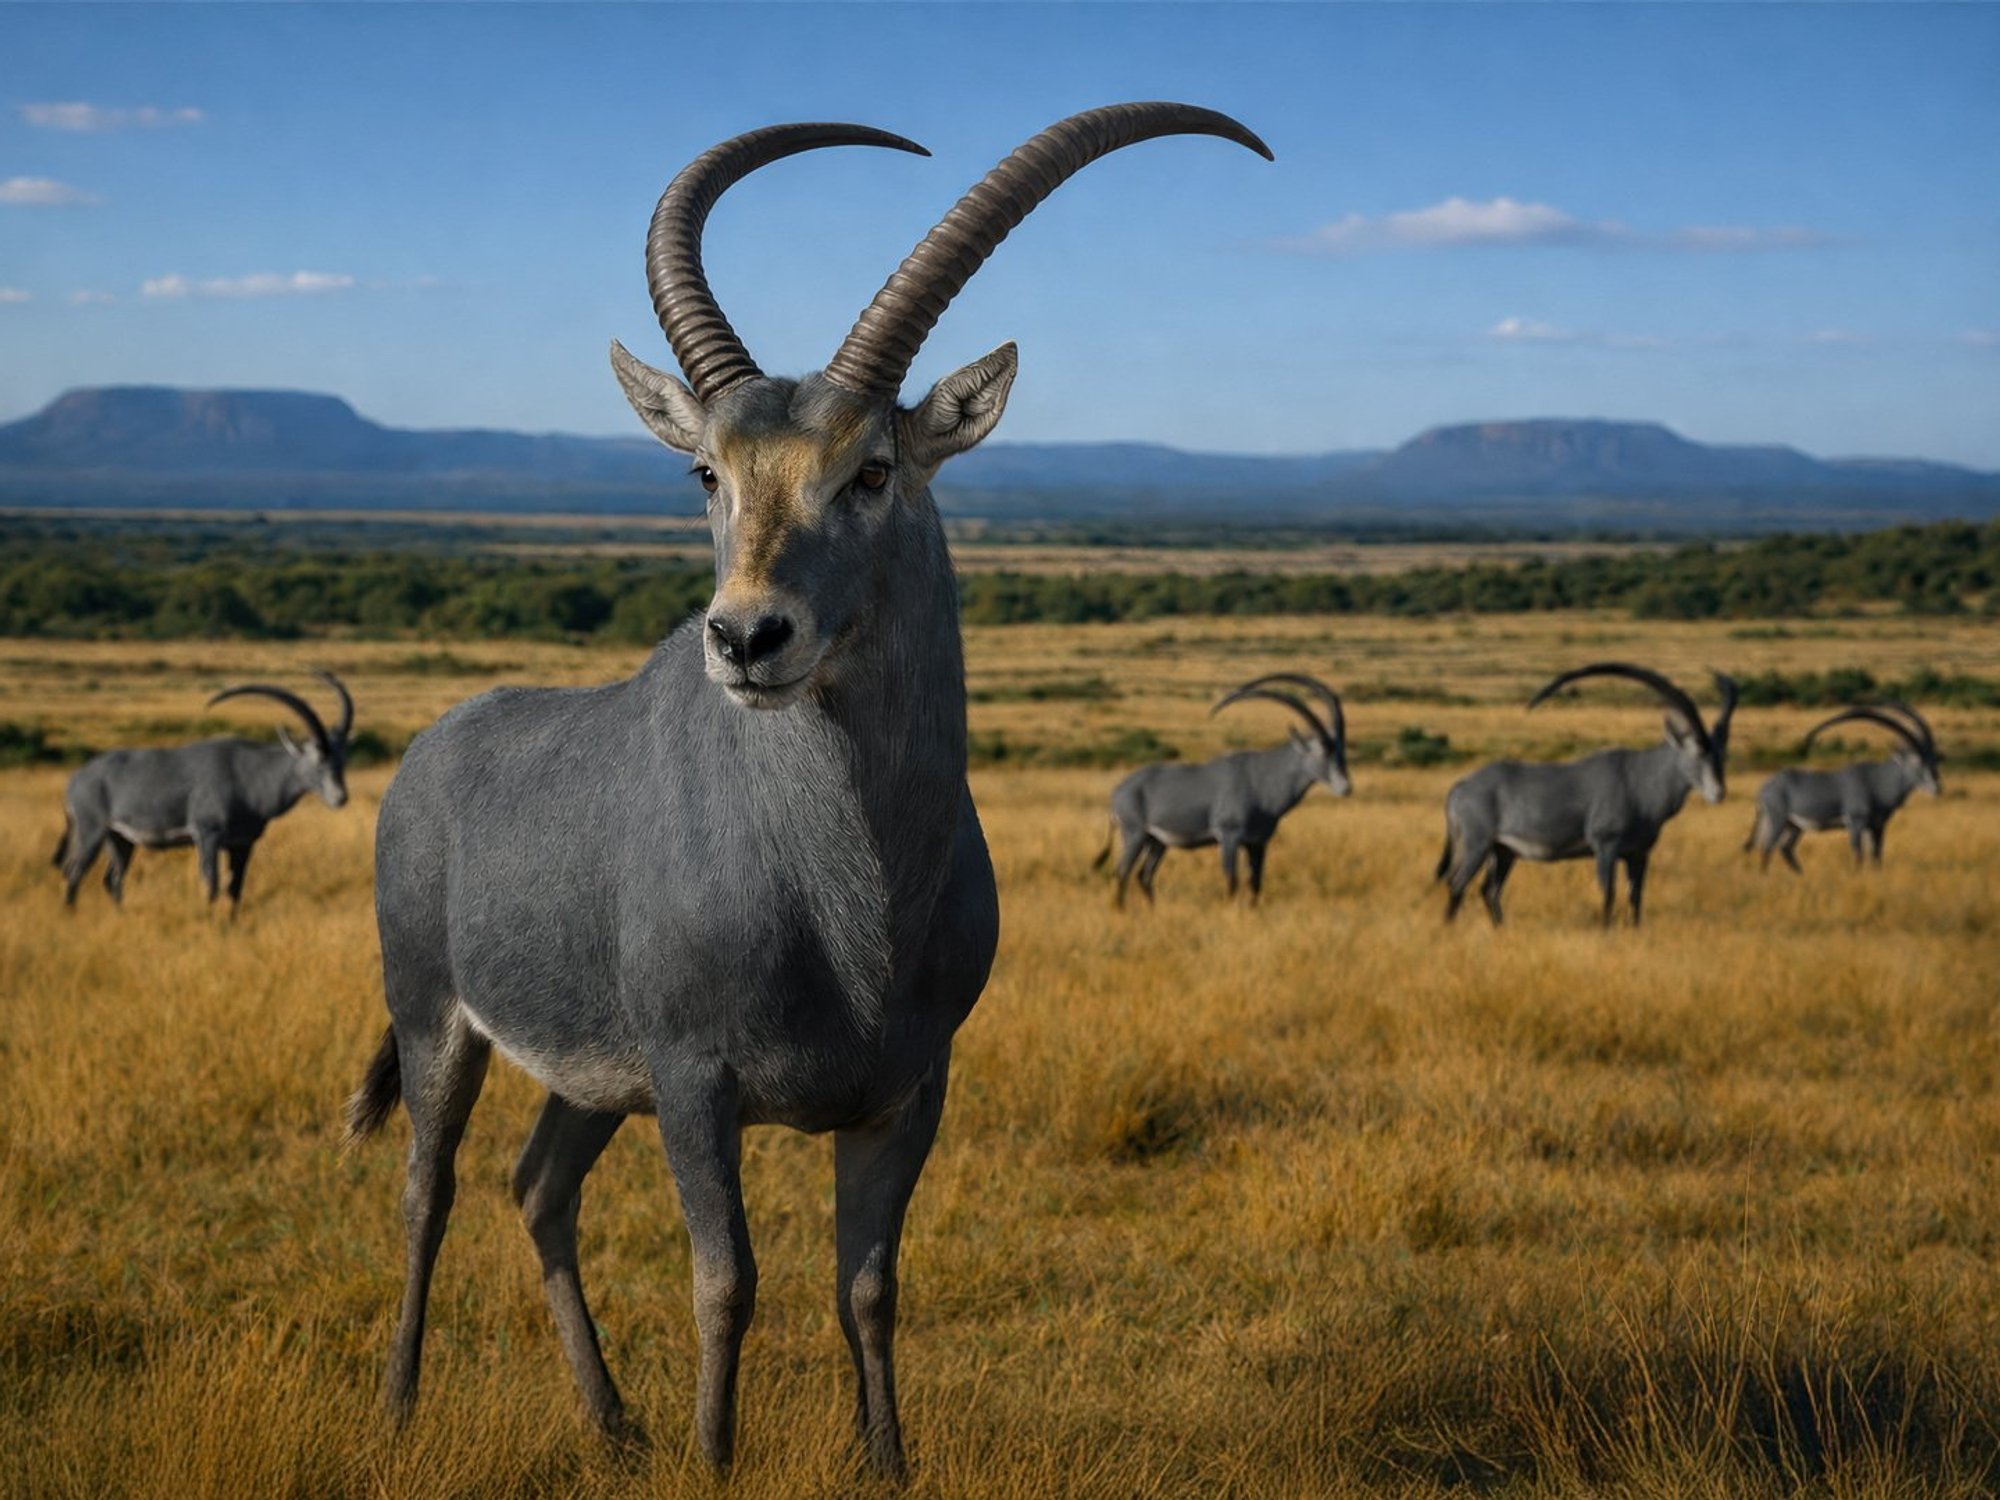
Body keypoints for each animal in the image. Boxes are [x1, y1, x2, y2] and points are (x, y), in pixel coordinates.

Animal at [53, 672, 352, 913]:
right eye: (319, 758)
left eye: (341, 760)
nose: (340, 797)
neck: (251, 775)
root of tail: (76, 778)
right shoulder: (208, 835)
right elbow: (212, 884)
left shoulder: (242, 844)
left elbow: (235, 889)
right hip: (91, 832)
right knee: (74, 872)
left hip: (119, 839)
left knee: (112, 879)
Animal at [341, 104, 1271, 1476]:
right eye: (706, 473)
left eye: (873, 467)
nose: (744, 639)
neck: (848, 898)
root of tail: (434, 752)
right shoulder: (695, 1083)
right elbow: (726, 1281)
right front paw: (713, 1462)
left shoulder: (907, 1091)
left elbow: (867, 1286)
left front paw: (886, 1463)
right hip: (436, 1022)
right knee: (430, 1187)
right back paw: (402, 1409)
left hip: (588, 1080)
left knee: (539, 1187)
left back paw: (613, 1426)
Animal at [1094, 673, 1348, 905]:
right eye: (1321, 750)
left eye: (1340, 749)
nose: (1345, 787)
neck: (1262, 779)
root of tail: (1117, 791)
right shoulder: (1229, 837)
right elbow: (1232, 880)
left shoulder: (1258, 843)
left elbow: (1256, 883)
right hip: (1134, 835)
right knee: (1122, 872)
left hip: (1157, 842)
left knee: (1144, 875)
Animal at [1437, 662, 1737, 926]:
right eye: (1697, 750)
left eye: (1722, 753)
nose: (1718, 792)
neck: (1640, 779)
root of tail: (1460, 786)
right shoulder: (1605, 846)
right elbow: (1608, 894)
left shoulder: (1638, 854)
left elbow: (1636, 899)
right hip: (1477, 844)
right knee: (1456, 883)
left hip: (1502, 852)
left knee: (1488, 890)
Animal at [1745, 700, 1941, 870]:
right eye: (1917, 761)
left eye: (1933, 759)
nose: (1937, 788)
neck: (1878, 781)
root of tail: (1764, 788)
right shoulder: (1855, 823)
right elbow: (1858, 854)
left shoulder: (1877, 827)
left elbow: (1876, 856)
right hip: (1777, 820)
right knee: (1767, 848)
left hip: (1794, 826)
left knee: (1784, 849)